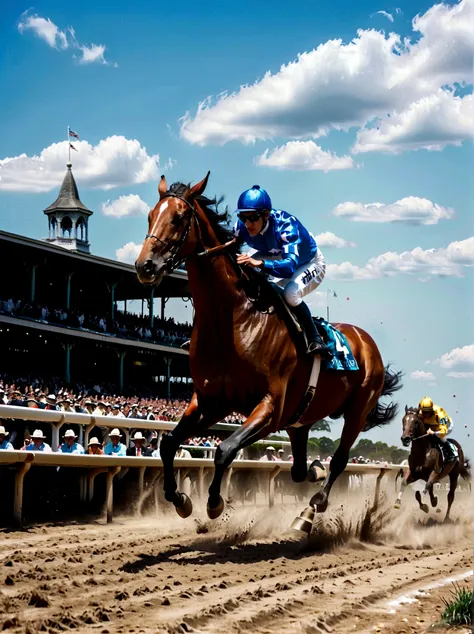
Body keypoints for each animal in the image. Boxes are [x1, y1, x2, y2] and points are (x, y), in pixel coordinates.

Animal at [135, 174, 402, 524]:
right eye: (150, 216)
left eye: (178, 217)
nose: (145, 266)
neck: (233, 321)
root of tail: (366, 341)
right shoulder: (210, 401)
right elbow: (167, 444)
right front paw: (179, 499)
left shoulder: (270, 407)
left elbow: (224, 449)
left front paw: (214, 502)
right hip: (300, 418)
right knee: (301, 468)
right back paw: (314, 471)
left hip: (357, 409)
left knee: (340, 459)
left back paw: (311, 509)